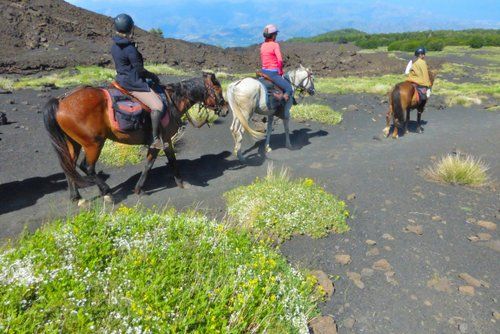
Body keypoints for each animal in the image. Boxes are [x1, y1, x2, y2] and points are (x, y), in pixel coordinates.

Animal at [44, 72, 228, 205]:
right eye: (218, 90)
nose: (226, 109)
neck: (172, 101)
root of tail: (61, 101)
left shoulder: (166, 140)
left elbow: (170, 161)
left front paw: (180, 183)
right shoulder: (159, 141)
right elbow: (149, 165)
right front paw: (139, 189)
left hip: (74, 143)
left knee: (69, 166)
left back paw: (77, 197)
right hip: (93, 144)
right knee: (87, 167)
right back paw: (107, 192)